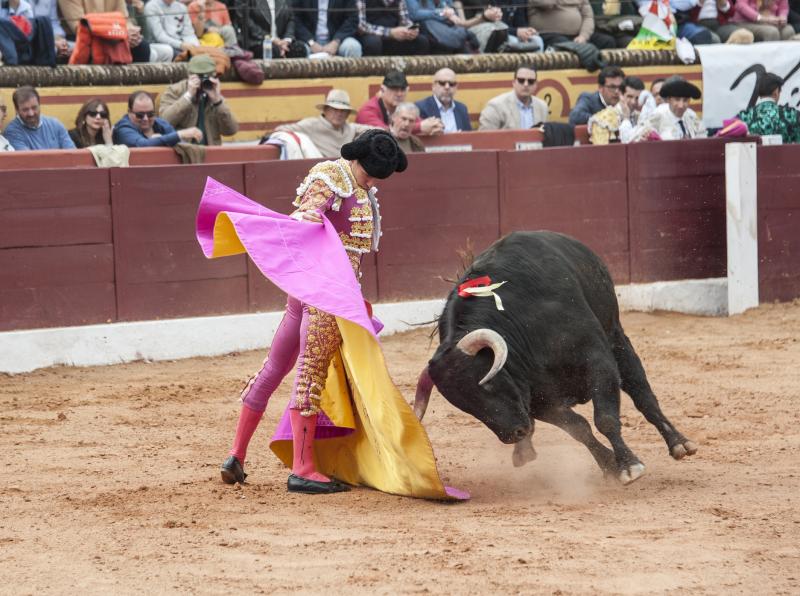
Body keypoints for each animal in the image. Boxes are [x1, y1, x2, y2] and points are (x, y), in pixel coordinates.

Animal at [416, 229, 696, 484]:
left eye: (488, 385)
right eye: (465, 406)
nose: (515, 433)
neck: (520, 323)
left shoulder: (599, 361)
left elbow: (605, 419)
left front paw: (629, 466)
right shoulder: (539, 400)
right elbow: (579, 428)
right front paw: (610, 466)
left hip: (617, 339)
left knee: (643, 395)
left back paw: (680, 444)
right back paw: (523, 451)